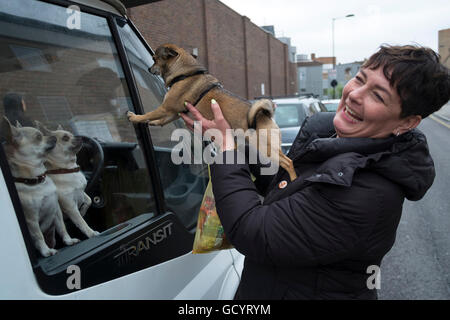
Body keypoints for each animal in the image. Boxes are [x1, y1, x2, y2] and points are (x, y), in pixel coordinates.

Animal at [126, 43, 298, 181]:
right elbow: (160, 120)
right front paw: (152, 122)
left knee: (288, 162)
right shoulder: (172, 112)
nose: (149, 68)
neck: (185, 74)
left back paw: (293, 179)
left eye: (154, 58)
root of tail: (265, 116)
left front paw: (135, 117)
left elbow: (150, 113)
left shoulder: (165, 108)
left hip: (266, 148)